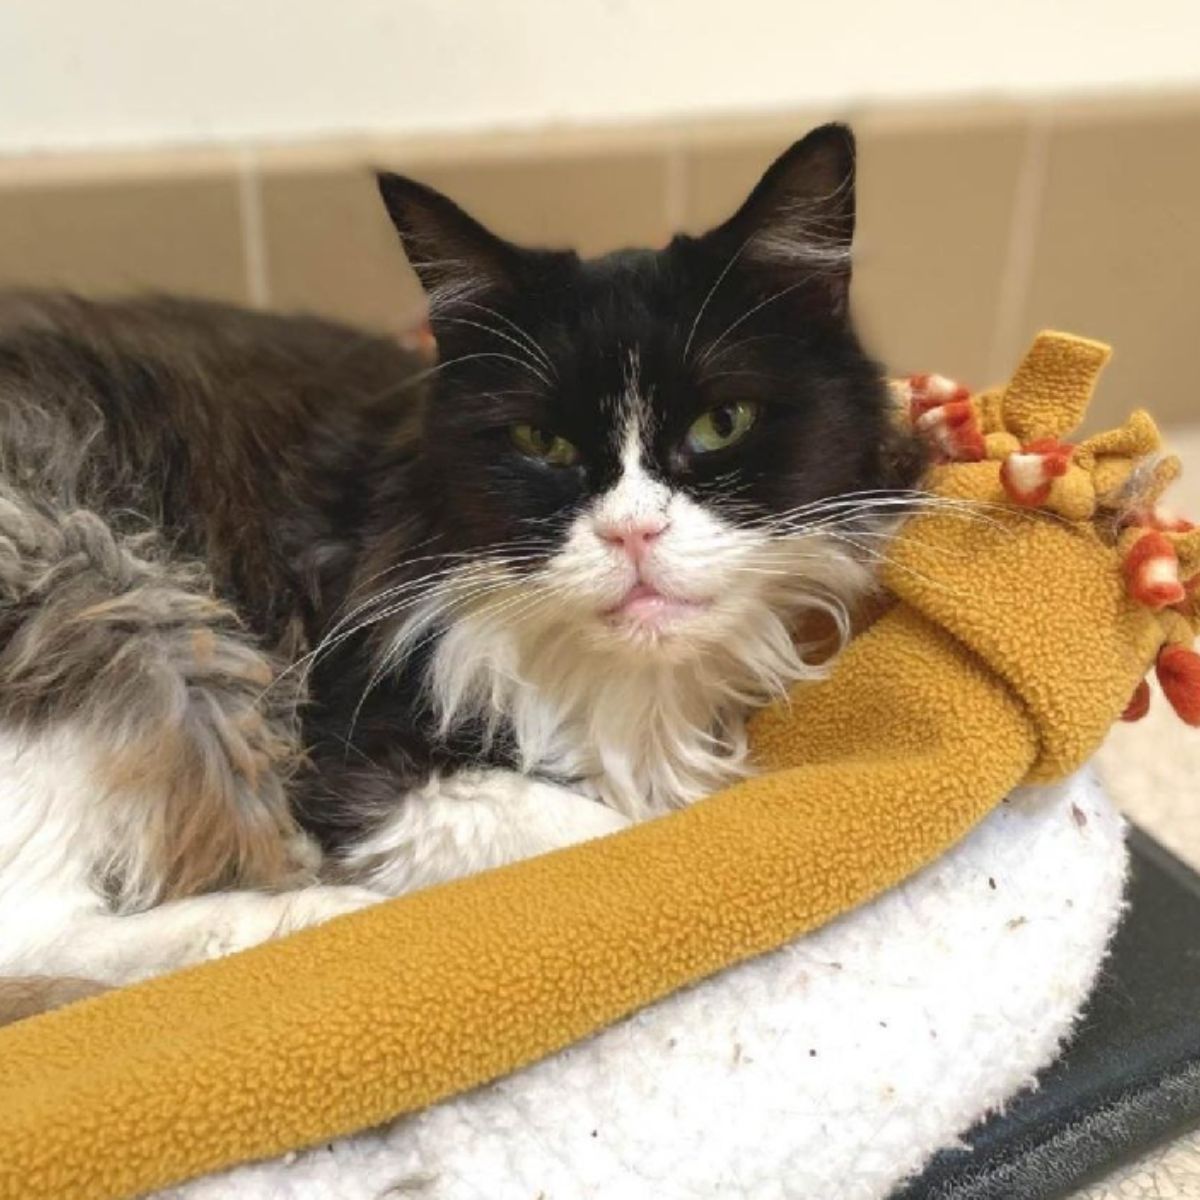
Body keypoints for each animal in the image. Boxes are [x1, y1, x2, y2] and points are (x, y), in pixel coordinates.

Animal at [0, 119, 921, 1003]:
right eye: (542, 441)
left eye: (721, 423)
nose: (631, 535)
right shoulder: (353, 757)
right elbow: (630, 832)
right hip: (103, 599)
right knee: (44, 940)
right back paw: (324, 918)